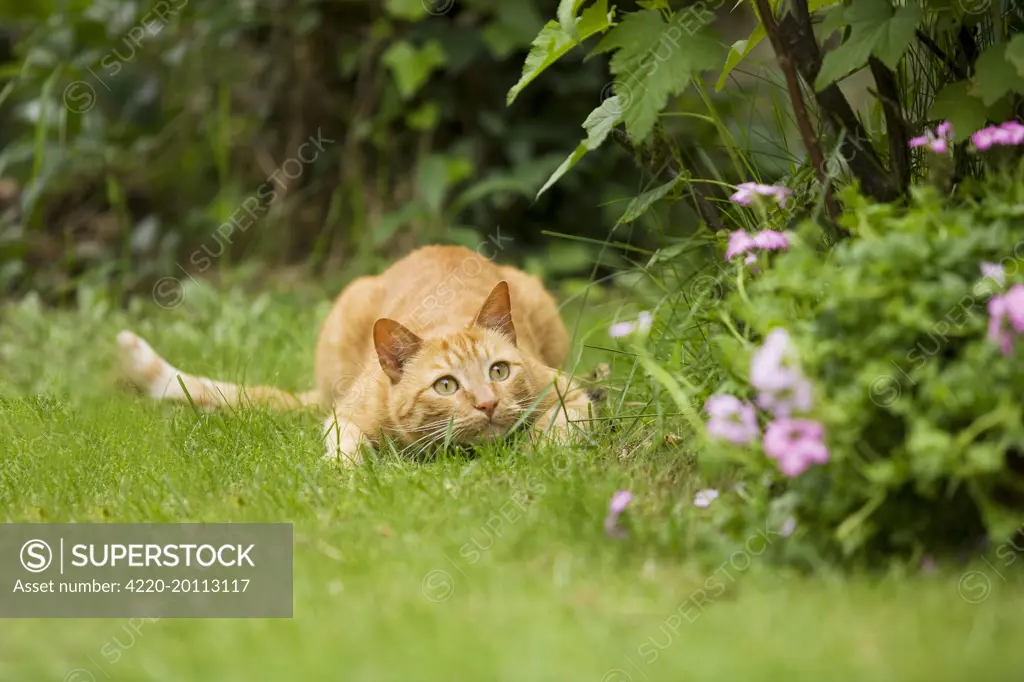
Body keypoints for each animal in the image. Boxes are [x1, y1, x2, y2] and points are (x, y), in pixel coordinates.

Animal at [117, 244, 593, 462]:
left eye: (498, 372)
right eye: (446, 385)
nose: (488, 404)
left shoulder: (572, 393)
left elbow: (554, 432)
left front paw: (532, 452)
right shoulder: (343, 417)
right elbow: (347, 449)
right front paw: (344, 475)